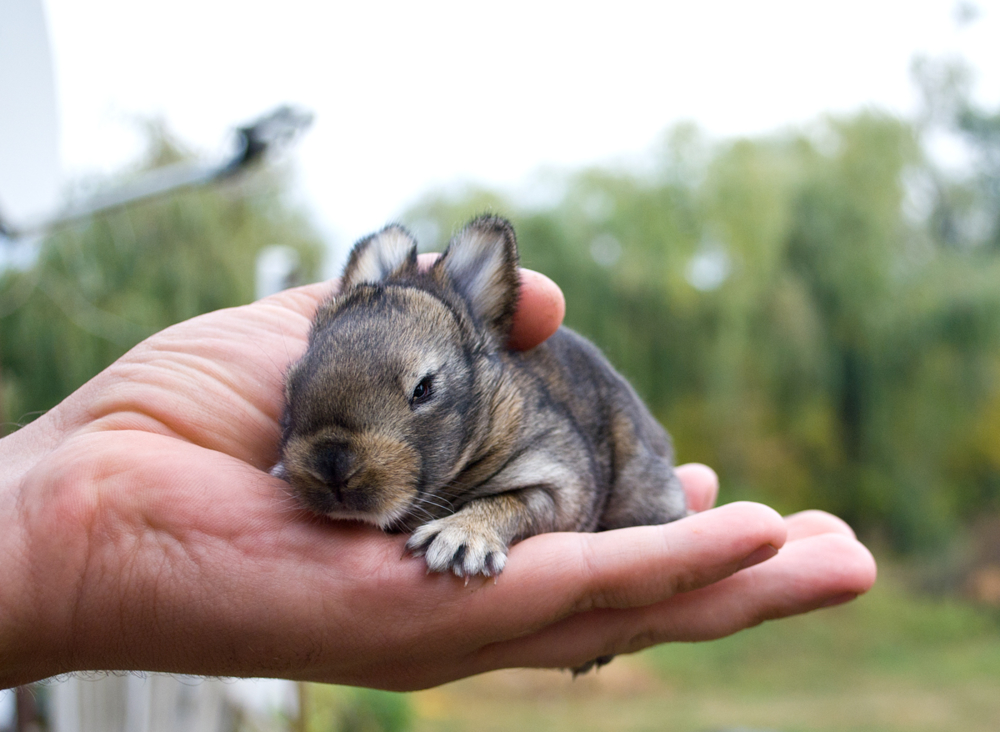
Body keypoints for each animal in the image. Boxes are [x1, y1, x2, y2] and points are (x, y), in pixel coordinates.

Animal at [274, 214, 688, 580]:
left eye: (423, 388)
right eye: (291, 383)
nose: (332, 466)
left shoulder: (559, 479)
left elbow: (507, 502)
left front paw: (459, 541)